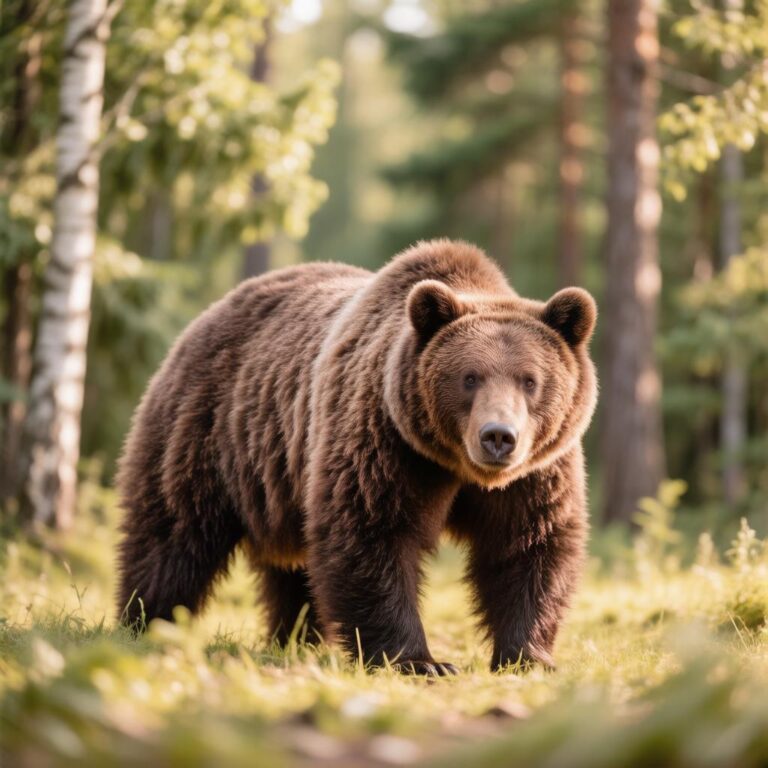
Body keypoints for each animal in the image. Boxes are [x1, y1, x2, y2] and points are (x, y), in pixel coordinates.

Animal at [116, 239, 597, 674]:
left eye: (529, 380)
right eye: (469, 377)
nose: (498, 436)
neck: (455, 464)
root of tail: (208, 314)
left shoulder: (535, 473)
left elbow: (530, 545)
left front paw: (528, 657)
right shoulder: (386, 441)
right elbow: (371, 532)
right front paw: (421, 661)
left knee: (293, 571)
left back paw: (297, 639)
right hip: (209, 430)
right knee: (173, 534)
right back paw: (146, 622)